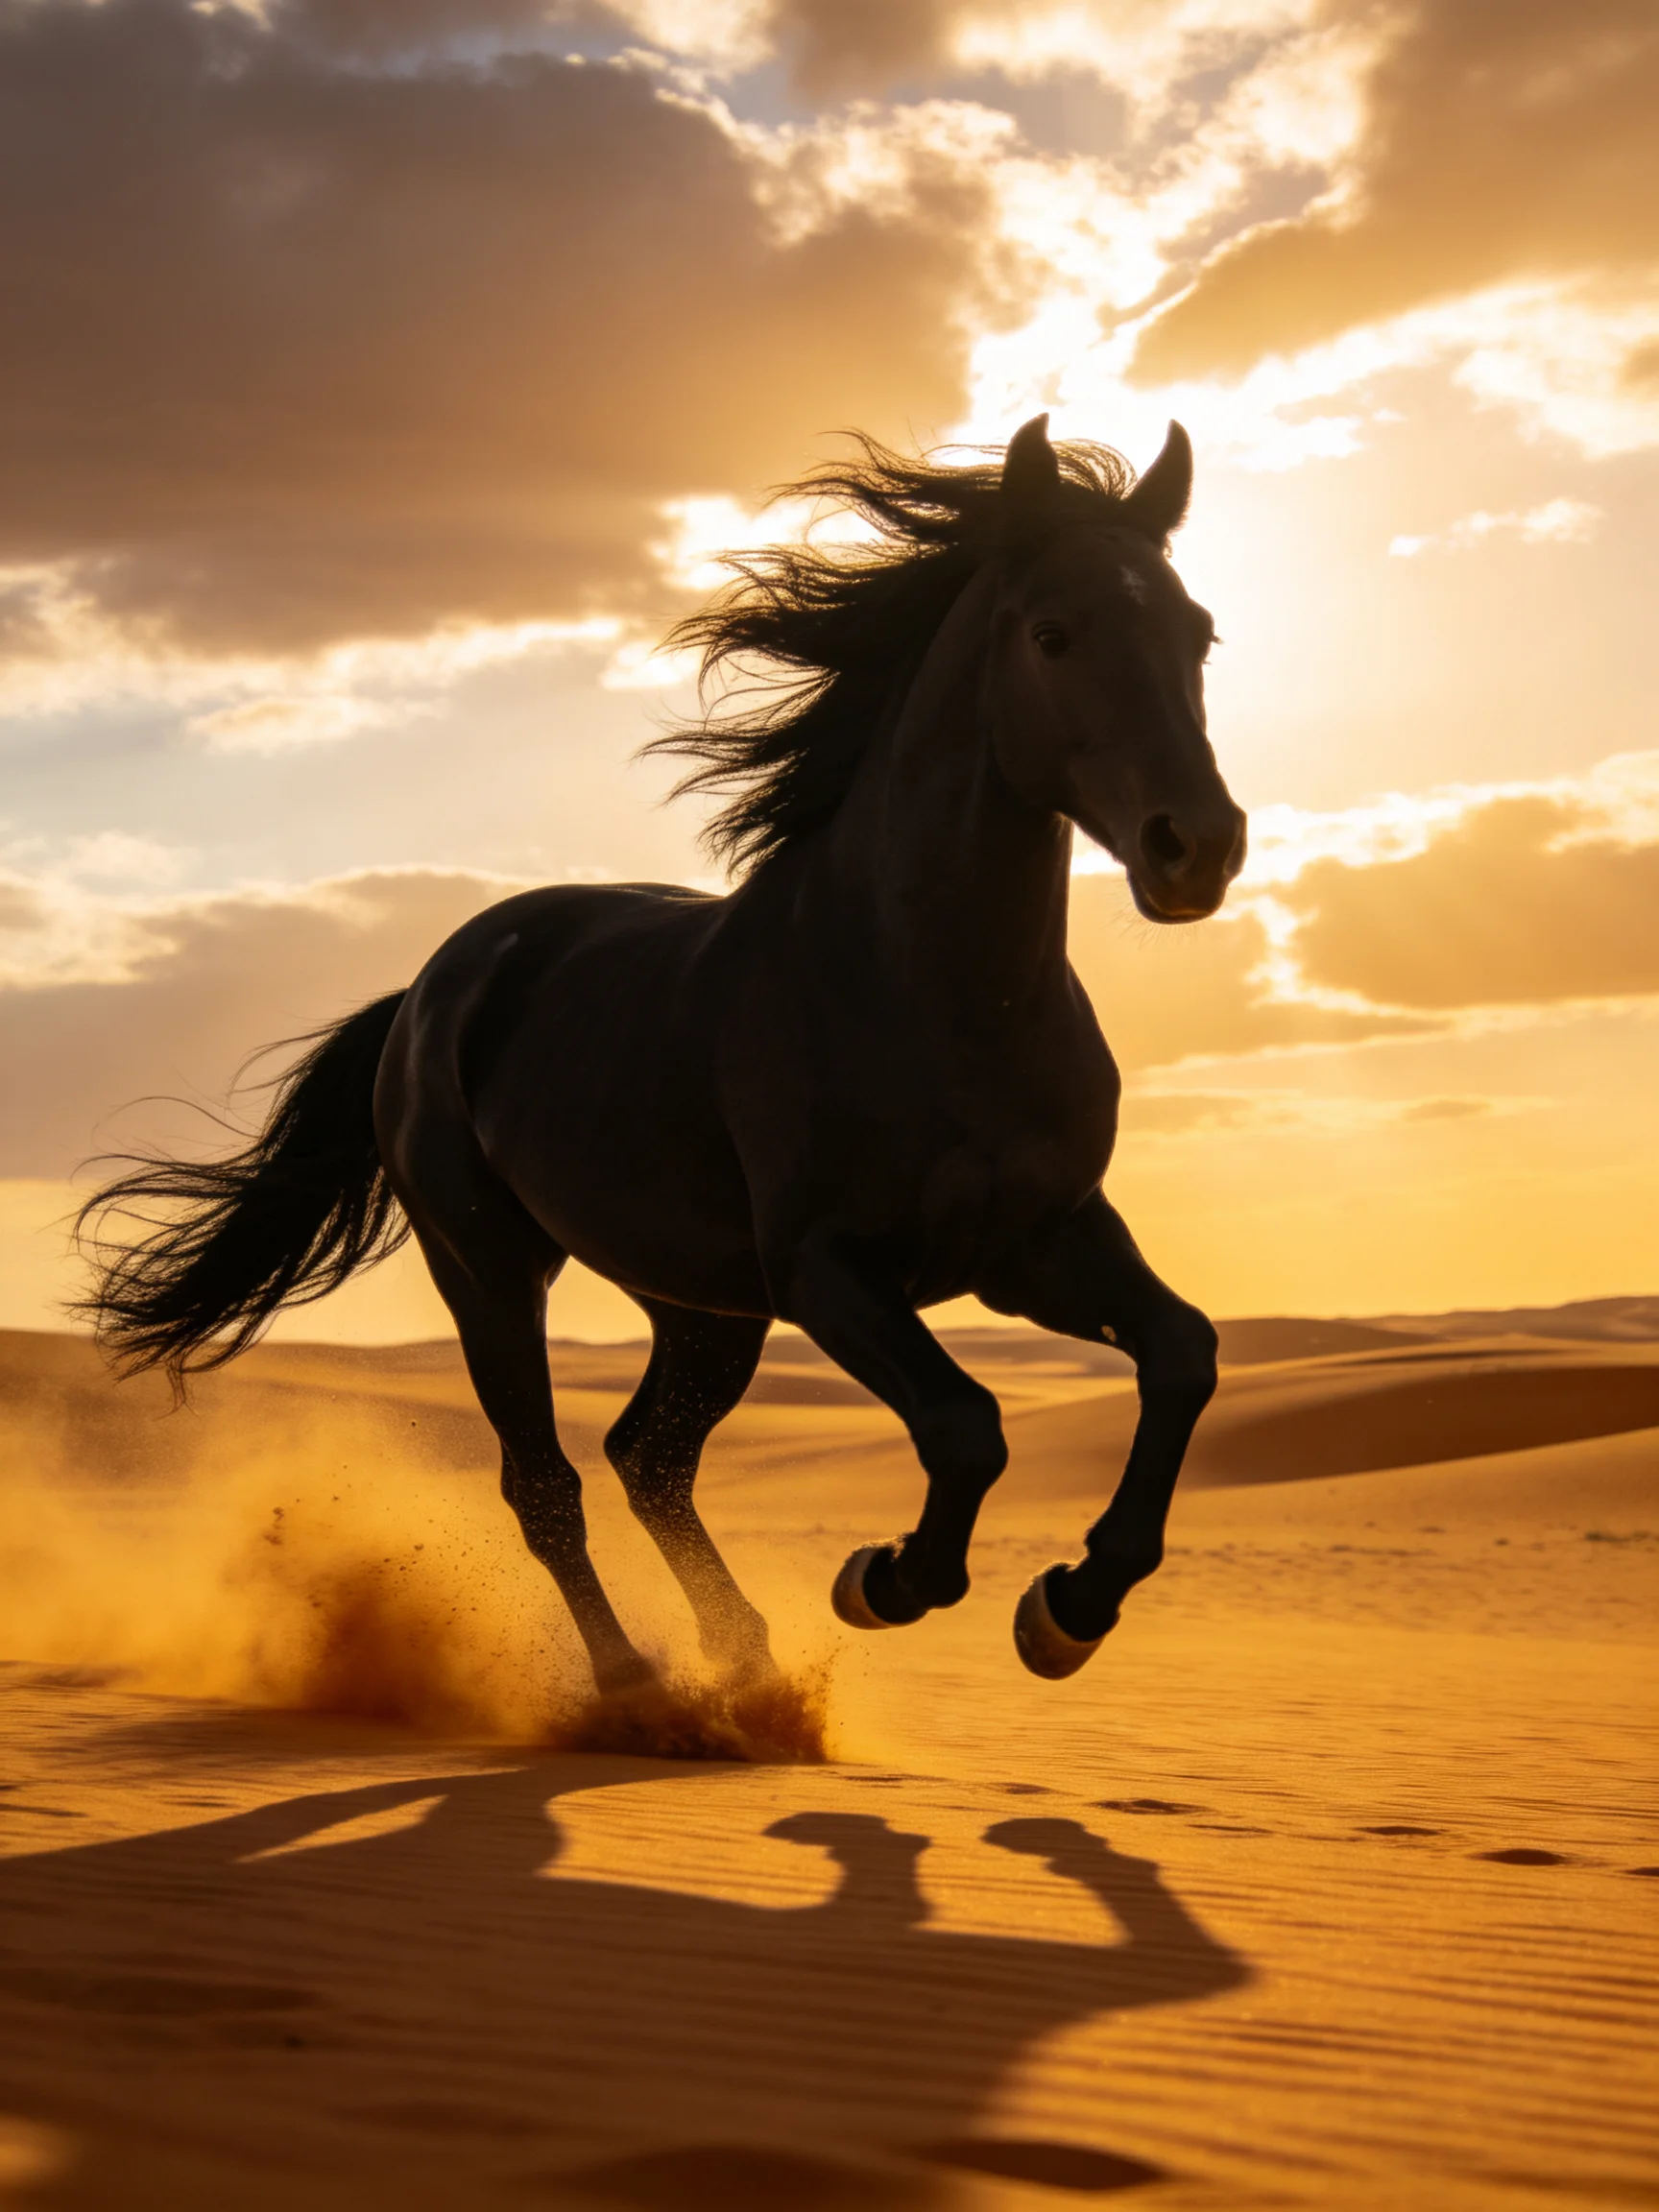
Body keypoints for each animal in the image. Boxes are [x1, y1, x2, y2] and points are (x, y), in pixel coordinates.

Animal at [80, 414, 1246, 1696]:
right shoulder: (830, 1269)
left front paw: (1071, 1609)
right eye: (1053, 634)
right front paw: (886, 1581)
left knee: (649, 1455)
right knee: (547, 1480)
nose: (1198, 847)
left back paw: (745, 1663)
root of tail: (431, 988)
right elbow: (965, 1425)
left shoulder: (1038, 1243)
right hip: (492, 1269)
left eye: (1199, 632)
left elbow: (1182, 1355)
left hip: (700, 1304)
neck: (940, 999)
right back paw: (636, 1683)